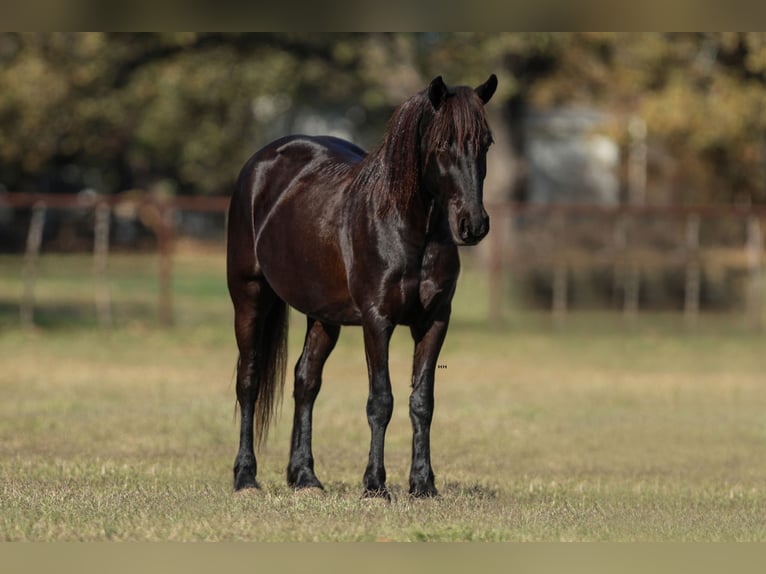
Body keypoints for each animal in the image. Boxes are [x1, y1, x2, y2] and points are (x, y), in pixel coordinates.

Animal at [226, 75, 498, 500]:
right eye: (443, 144)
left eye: (486, 142)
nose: (474, 224)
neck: (406, 226)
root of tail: (260, 164)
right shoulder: (377, 320)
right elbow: (380, 401)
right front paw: (375, 485)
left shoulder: (435, 321)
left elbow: (422, 401)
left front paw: (423, 485)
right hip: (249, 297)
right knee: (249, 380)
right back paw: (245, 478)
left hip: (323, 316)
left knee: (306, 381)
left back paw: (305, 478)